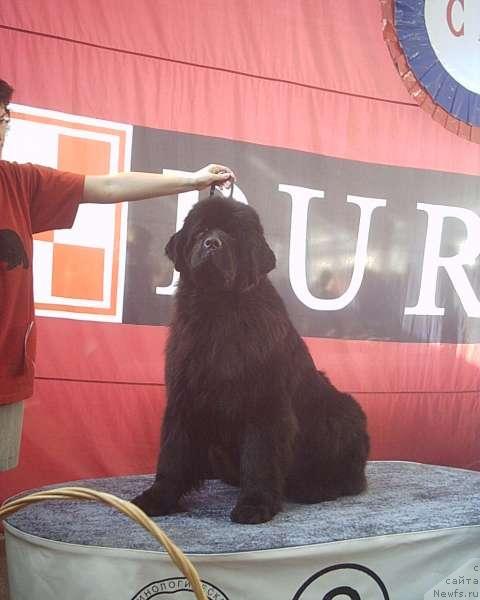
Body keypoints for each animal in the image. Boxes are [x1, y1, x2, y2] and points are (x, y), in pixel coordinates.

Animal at [133, 195, 370, 524]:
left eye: (233, 235)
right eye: (201, 231)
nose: (212, 243)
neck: (218, 309)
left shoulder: (264, 403)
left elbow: (260, 457)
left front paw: (255, 504)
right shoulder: (184, 397)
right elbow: (172, 455)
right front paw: (158, 498)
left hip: (344, 410)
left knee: (352, 478)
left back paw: (317, 488)